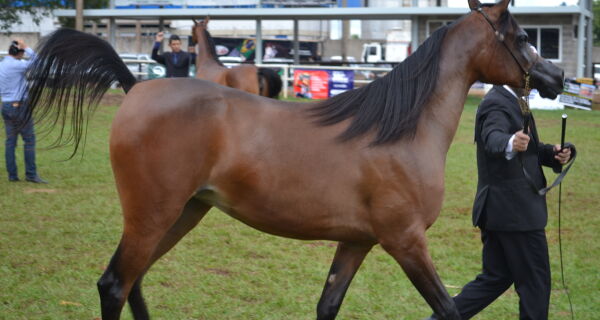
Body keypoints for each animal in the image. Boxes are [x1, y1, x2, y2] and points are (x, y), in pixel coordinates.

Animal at [27, 0, 564, 320]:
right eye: (522, 38)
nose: (556, 77)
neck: (400, 131)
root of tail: (137, 86)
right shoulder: (406, 242)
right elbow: (449, 309)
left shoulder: (357, 242)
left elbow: (327, 306)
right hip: (152, 215)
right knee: (115, 284)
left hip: (181, 213)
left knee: (134, 282)